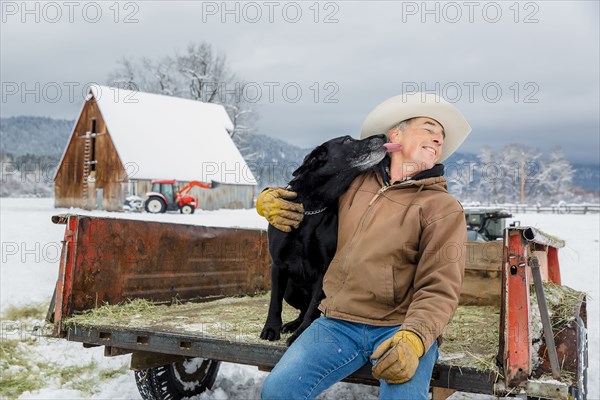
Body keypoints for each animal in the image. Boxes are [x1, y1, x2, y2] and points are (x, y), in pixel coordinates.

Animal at [258, 133, 390, 346]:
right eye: (347, 140)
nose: (383, 135)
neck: (312, 205)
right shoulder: (278, 264)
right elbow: (274, 302)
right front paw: (271, 329)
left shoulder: (324, 268)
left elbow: (314, 307)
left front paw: (300, 334)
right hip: (290, 290)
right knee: (300, 308)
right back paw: (291, 324)